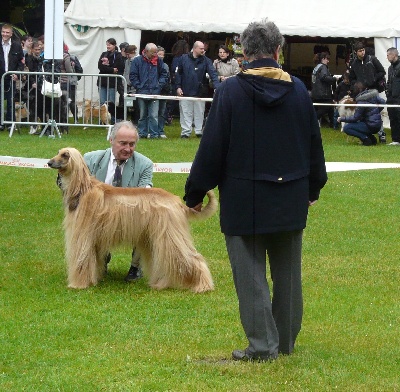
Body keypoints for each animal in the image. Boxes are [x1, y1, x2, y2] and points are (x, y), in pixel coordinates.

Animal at [48, 149, 217, 292]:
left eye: (65, 155)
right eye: (58, 152)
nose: (49, 162)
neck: (82, 189)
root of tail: (178, 202)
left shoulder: (82, 236)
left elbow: (81, 260)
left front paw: (78, 284)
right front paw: (94, 279)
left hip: (169, 234)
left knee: (192, 258)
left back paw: (203, 286)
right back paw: (160, 284)